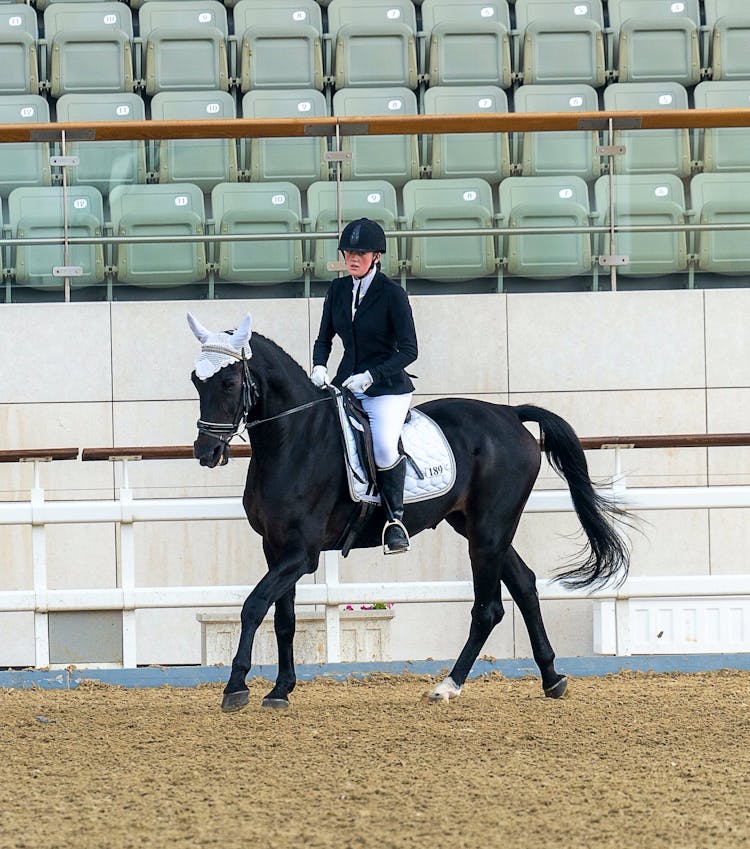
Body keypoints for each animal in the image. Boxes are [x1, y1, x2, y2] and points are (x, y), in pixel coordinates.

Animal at [188, 312, 628, 708]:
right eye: (196, 380)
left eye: (229, 382)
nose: (205, 452)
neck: (295, 439)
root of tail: (509, 413)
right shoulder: (276, 547)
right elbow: (283, 619)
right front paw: (280, 690)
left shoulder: (302, 554)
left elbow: (253, 605)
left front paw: (236, 686)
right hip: (475, 526)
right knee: (524, 584)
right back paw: (552, 677)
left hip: (489, 530)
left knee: (488, 609)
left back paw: (447, 687)